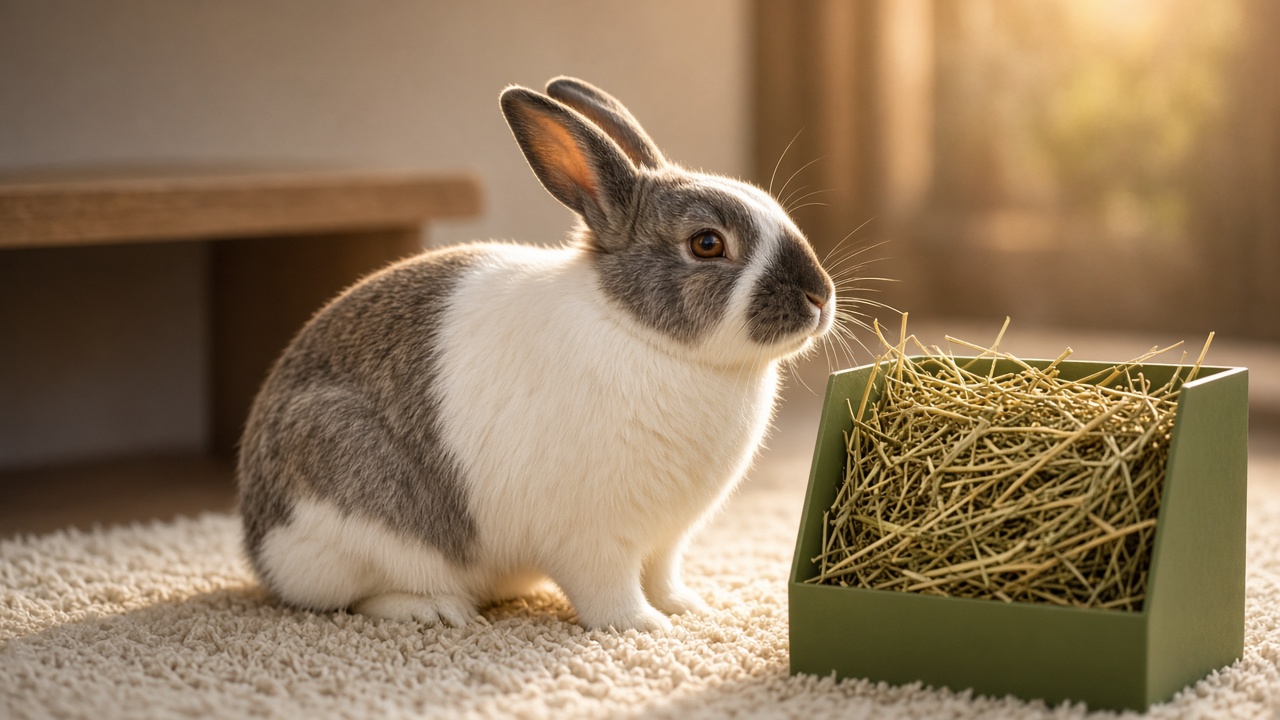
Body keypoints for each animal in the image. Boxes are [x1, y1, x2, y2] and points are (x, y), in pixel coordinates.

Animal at [236, 76, 836, 632]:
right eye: (707, 244)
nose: (819, 296)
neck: (639, 332)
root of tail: (259, 545)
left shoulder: (667, 538)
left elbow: (662, 574)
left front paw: (688, 608)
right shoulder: (594, 537)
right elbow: (608, 588)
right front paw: (641, 626)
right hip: (365, 514)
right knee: (356, 594)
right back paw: (436, 610)